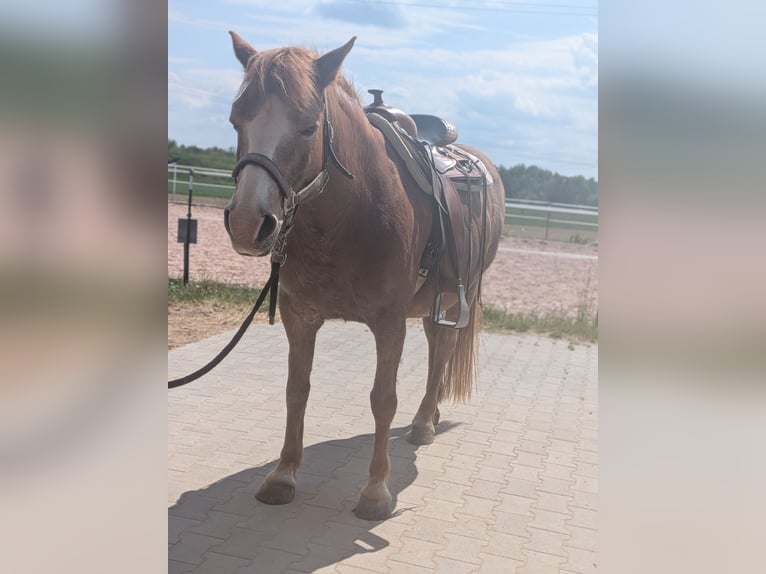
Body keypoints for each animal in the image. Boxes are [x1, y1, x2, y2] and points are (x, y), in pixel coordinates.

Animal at [224, 32, 505, 520]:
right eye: (235, 119)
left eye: (308, 127)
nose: (246, 224)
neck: (350, 211)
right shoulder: (300, 317)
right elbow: (296, 390)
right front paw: (283, 475)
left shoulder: (389, 322)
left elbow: (382, 399)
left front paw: (376, 491)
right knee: (437, 346)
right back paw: (429, 416)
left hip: (456, 296)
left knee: (442, 350)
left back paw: (423, 423)